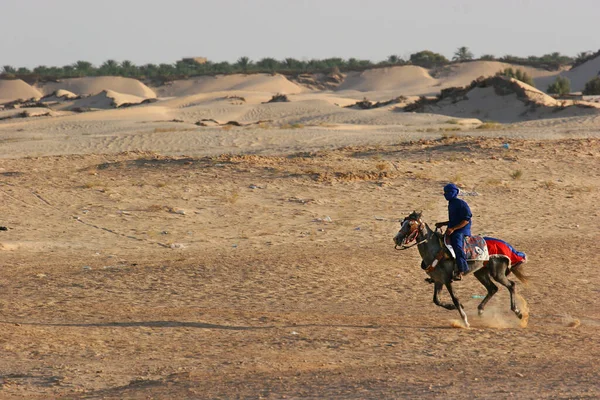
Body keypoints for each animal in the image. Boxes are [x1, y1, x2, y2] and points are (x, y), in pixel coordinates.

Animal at [394, 211, 528, 326]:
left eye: (410, 225)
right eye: (402, 223)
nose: (396, 239)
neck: (435, 250)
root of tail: (508, 247)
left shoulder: (447, 280)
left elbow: (455, 299)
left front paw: (465, 320)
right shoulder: (438, 280)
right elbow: (437, 300)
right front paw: (454, 307)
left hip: (497, 273)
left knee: (511, 285)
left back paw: (518, 312)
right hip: (480, 273)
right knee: (492, 288)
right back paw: (480, 310)